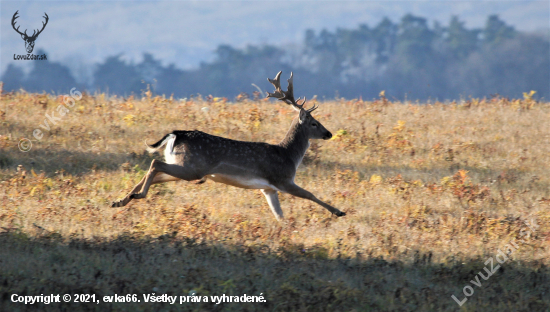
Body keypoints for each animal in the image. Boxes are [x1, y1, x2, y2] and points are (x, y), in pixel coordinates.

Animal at [111, 72, 344, 221]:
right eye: (314, 123)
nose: (329, 133)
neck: (288, 155)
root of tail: (176, 134)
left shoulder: (268, 189)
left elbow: (280, 215)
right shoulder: (282, 179)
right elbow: (310, 195)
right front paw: (339, 212)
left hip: (186, 167)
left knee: (154, 171)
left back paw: (121, 200)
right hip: (193, 167)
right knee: (154, 163)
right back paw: (136, 196)